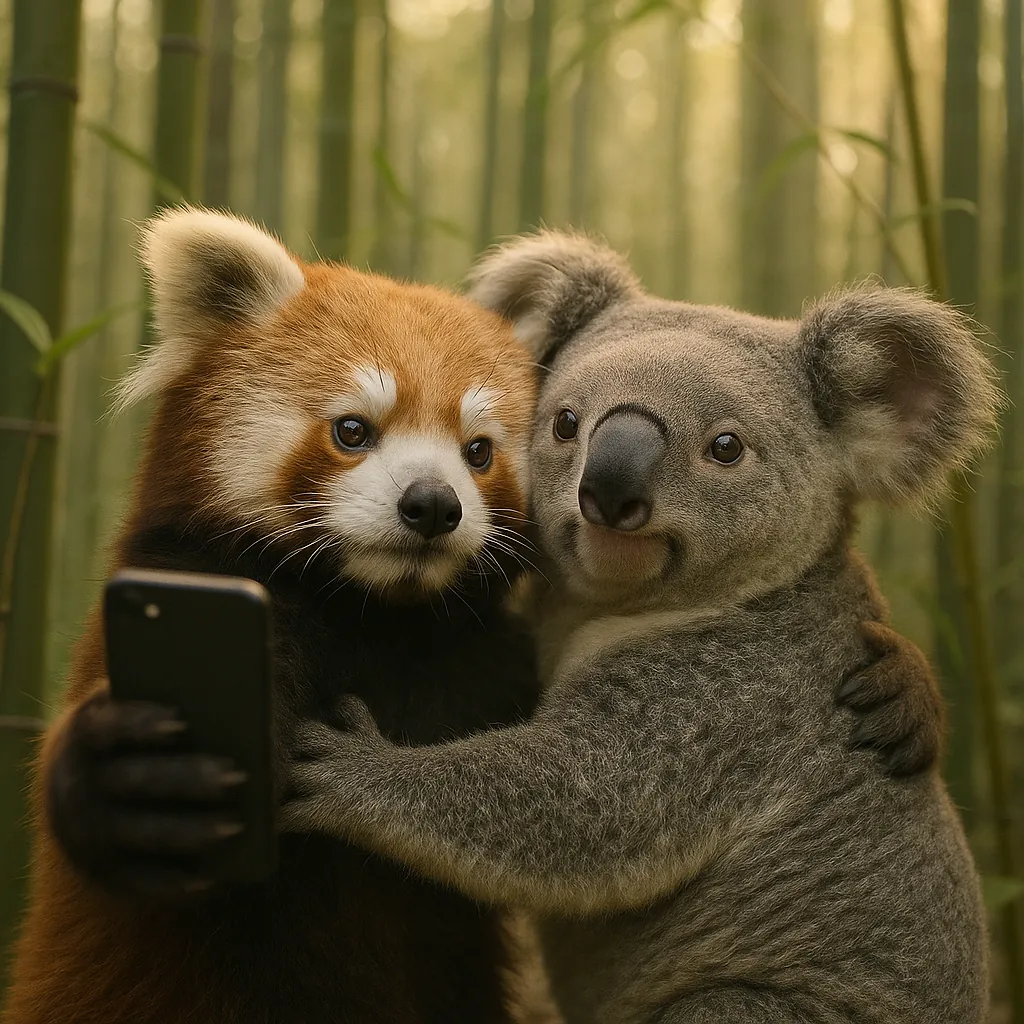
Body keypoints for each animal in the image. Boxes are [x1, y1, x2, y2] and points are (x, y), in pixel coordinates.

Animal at [279, 232, 988, 1024]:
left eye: (726, 447)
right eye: (565, 422)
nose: (610, 490)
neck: (619, 607)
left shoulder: (732, 699)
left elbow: (589, 803)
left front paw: (339, 766)